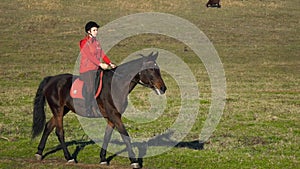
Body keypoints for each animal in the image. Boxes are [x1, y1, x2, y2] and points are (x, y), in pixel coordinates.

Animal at [31, 52, 168, 168]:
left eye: (158, 70)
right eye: (150, 69)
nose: (163, 88)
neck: (116, 85)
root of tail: (51, 79)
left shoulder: (111, 117)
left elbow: (107, 136)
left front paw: (103, 158)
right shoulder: (115, 115)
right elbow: (125, 135)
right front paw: (134, 161)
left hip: (64, 109)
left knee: (49, 126)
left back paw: (39, 152)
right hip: (58, 109)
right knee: (59, 132)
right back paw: (69, 157)